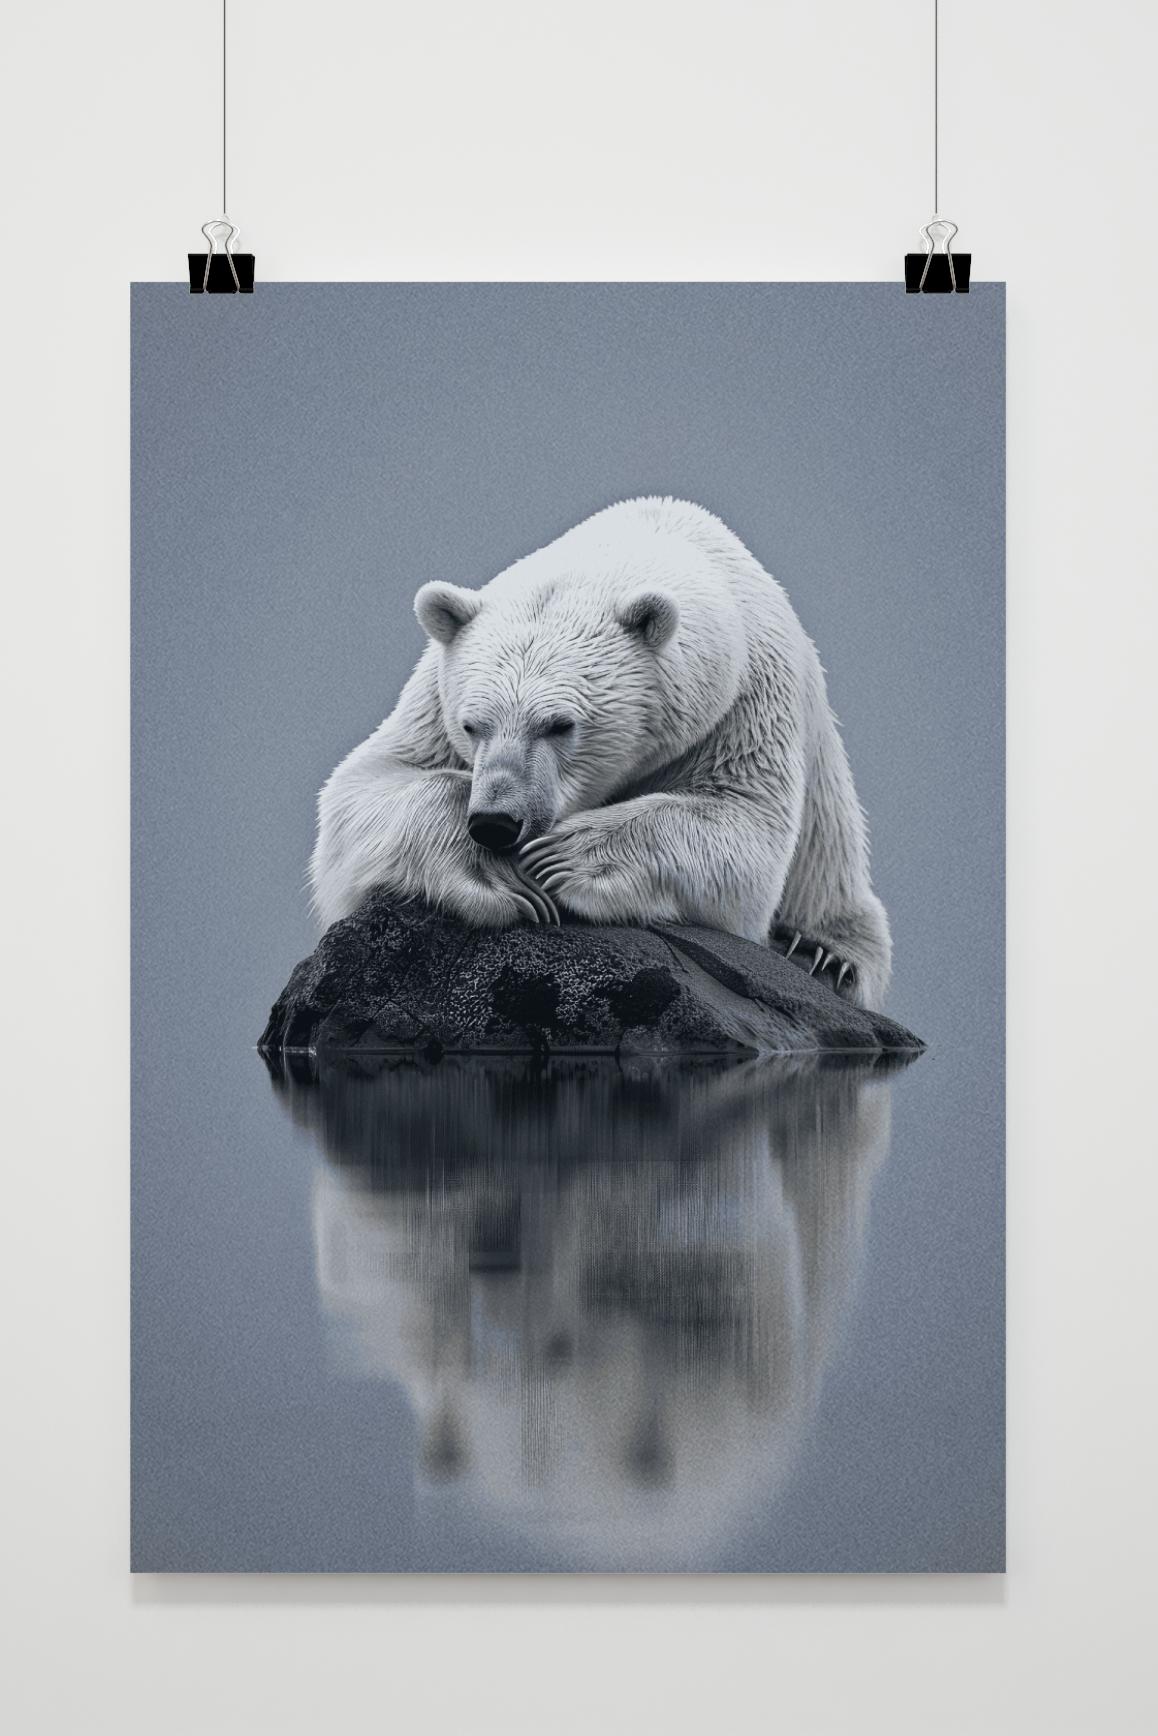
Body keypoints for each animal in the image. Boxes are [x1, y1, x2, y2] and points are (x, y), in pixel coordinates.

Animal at [309, 497, 892, 1007]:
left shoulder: (746, 696)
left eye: (559, 725)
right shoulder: (432, 697)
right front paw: (504, 881)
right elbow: (366, 788)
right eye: (472, 724)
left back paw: (822, 954)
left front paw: (561, 860)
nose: (496, 822)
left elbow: (745, 825)